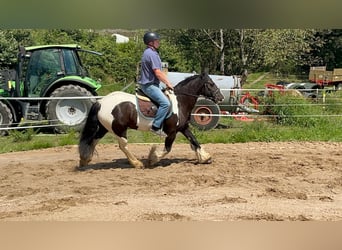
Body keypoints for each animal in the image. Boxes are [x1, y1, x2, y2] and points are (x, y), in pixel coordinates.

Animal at [79, 73, 226, 170]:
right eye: (211, 84)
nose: (221, 97)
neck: (180, 102)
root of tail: (101, 102)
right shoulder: (172, 132)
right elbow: (167, 149)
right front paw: (152, 159)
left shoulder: (183, 128)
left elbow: (194, 141)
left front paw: (205, 157)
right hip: (119, 129)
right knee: (123, 146)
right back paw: (137, 163)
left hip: (105, 128)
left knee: (94, 140)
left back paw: (85, 160)